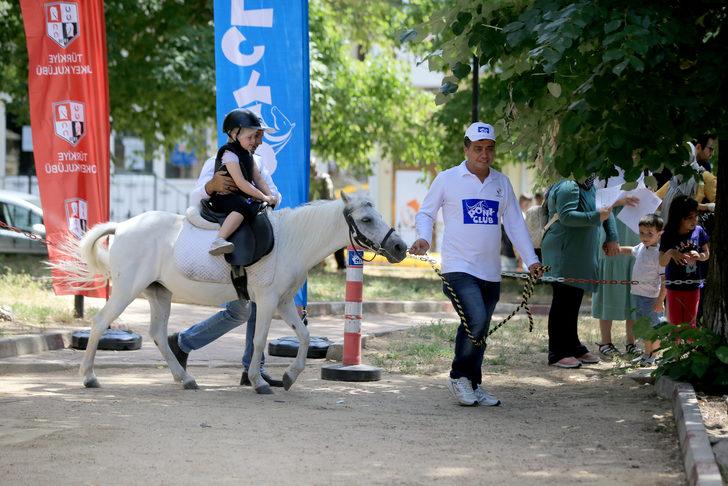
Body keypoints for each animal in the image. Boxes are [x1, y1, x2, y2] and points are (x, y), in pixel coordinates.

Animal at [61, 193, 407, 394]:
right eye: (366, 219)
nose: (400, 247)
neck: (290, 240)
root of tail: (122, 227)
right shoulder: (267, 301)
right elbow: (259, 340)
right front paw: (258, 381)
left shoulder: (283, 303)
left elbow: (305, 337)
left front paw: (289, 376)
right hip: (126, 290)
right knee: (100, 323)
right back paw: (89, 377)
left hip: (160, 294)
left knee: (159, 333)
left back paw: (185, 378)